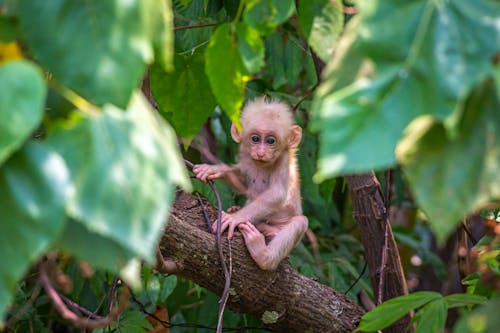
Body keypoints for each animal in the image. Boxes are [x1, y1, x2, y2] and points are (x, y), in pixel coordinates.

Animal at [193, 96, 306, 270]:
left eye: (271, 141)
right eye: (255, 139)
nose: (261, 152)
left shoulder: (284, 160)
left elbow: (278, 194)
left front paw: (234, 218)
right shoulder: (246, 155)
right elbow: (243, 181)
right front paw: (214, 169)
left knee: (300, 221)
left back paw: (263, 255)